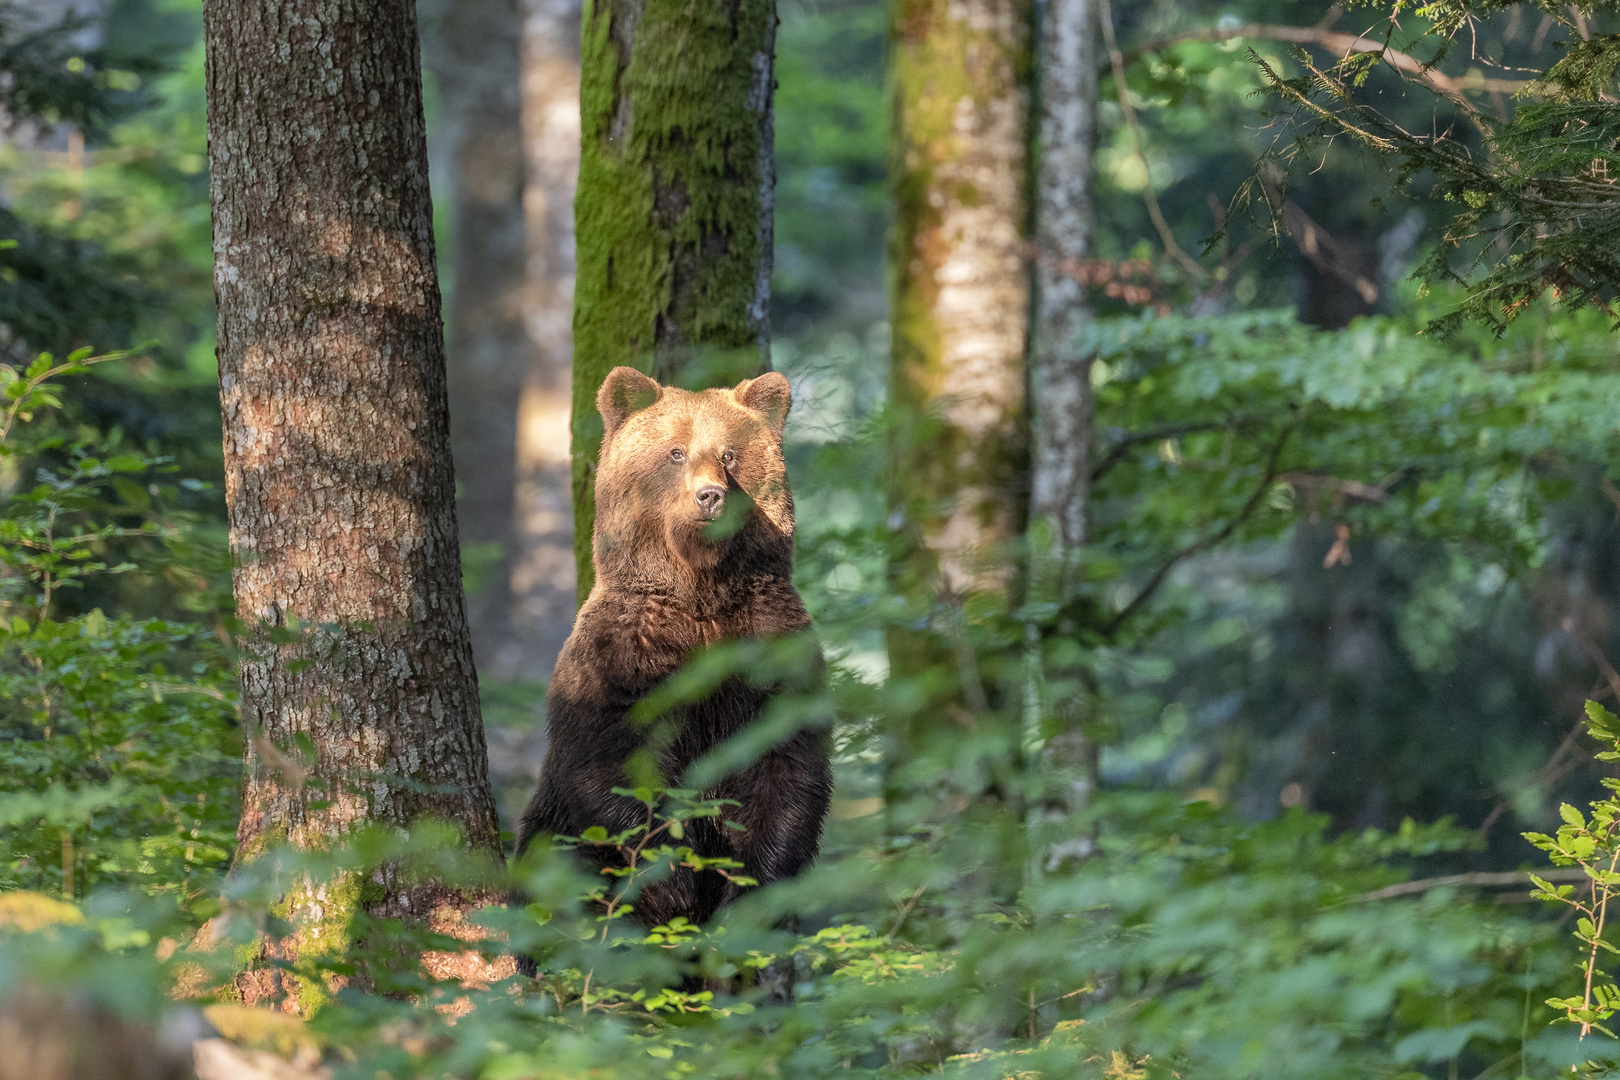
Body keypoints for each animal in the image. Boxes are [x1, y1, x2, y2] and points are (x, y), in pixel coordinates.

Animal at [511, 362, 829, 932]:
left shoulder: (767, 644)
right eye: (676, 452)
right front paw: (670, 881)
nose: (710, 496)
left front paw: (746, 899)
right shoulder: (623, 654)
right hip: (554, 835)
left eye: (729, 454)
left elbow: (786, 764)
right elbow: (614, 763)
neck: (699, 595)